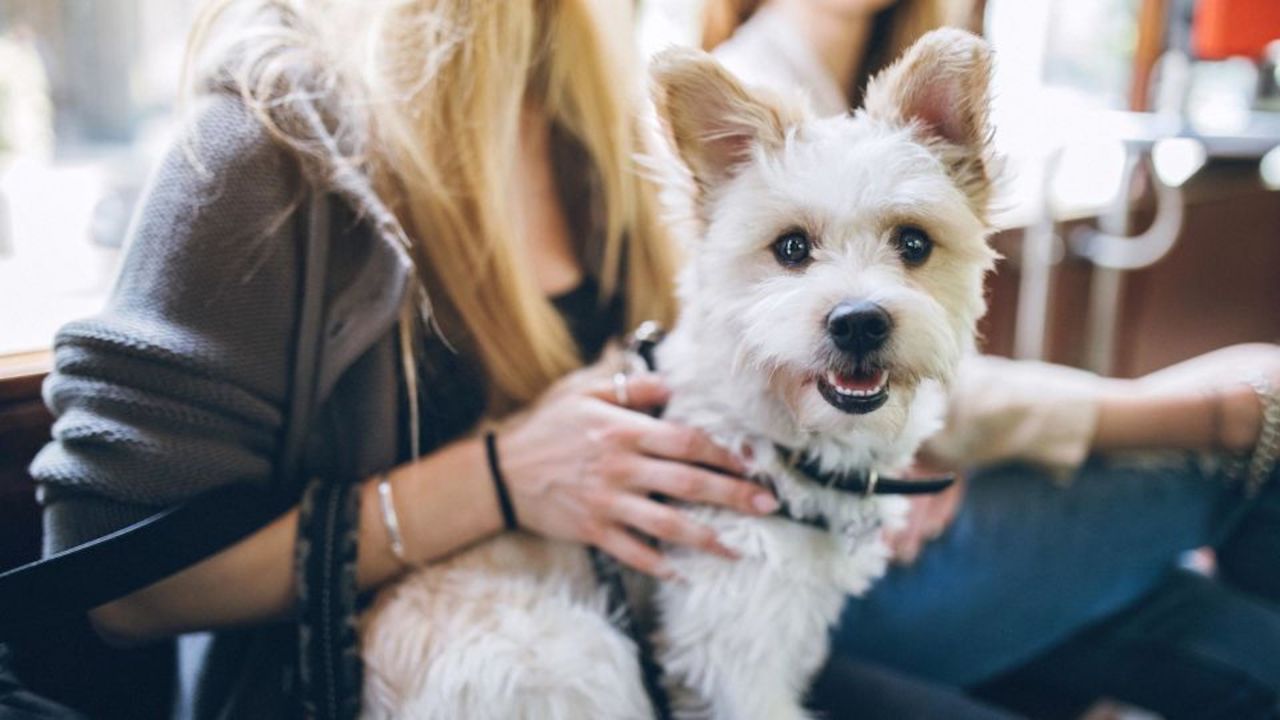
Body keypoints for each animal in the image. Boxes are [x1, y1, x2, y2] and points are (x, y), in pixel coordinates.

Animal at [360, 28, 998, 717]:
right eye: (792, 247)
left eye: (913, 243)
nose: (858, 323)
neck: (771, 437)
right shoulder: (733, 642)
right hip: (586, 654)